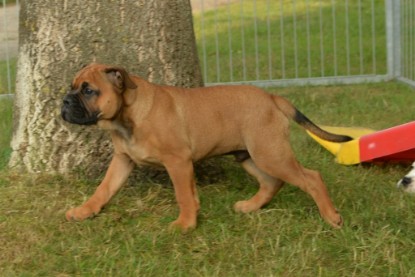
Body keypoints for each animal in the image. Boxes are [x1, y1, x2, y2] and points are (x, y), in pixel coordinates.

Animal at [61, 62, 352, 231]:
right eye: (72, 87)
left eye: (88, 91)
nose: (64, 101)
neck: (126, 117)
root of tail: (272, 97)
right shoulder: (123, 159)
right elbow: (103, 189)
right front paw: (85, 211)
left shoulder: (177, 162)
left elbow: (183, 195)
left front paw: (185, 224)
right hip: (249, 155)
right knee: (272, 182)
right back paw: (250, 206)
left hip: (270, 153)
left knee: (311, 178)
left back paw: (331, 217)